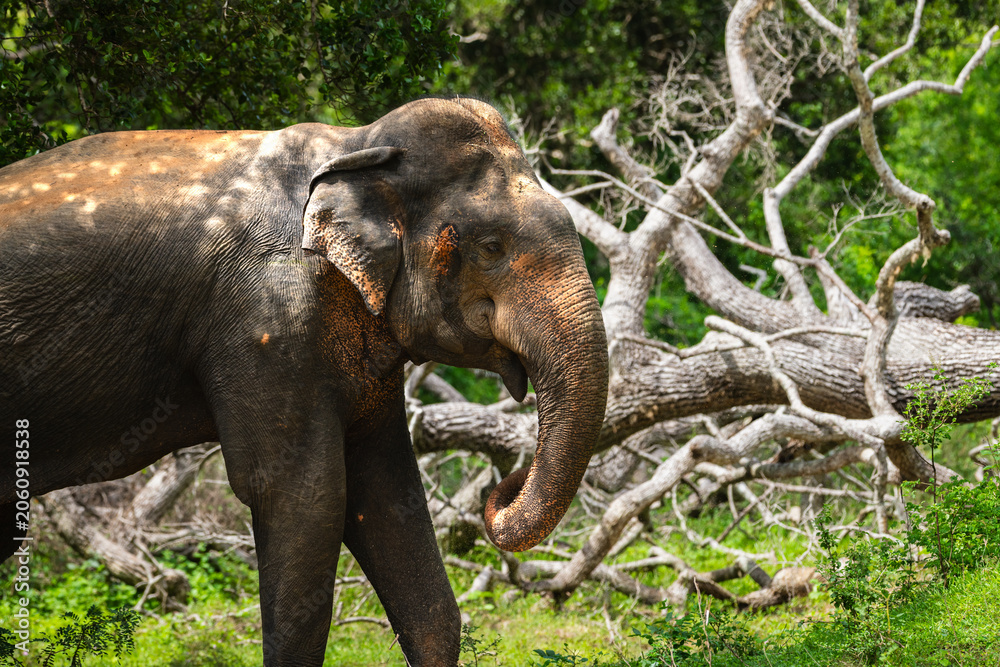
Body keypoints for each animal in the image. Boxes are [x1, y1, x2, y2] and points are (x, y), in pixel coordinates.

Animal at [0, 97, 608, 666]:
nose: (501, 486)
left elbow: (387, 491)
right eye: (491, 247)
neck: (355, 144)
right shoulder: (267, 314)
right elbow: (306, 495)